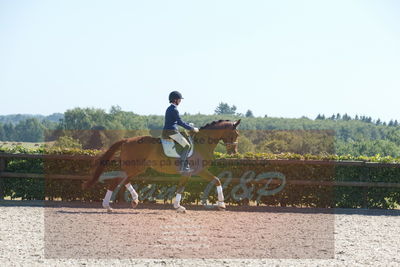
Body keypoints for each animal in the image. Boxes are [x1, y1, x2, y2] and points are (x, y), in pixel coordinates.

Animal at [83, 120, 241, 214]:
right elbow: (210, 182)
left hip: (137, 168)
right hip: (134, 167)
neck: (201, 144)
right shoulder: (196, 171)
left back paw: (134, 200)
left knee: (124, 180)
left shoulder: (193, 172)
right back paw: (107, 206)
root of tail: (127, 140)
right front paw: (179, 207)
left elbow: (214, 181)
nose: (233, 152)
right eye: (235, 134)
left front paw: (221, 205)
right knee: (116, 180)